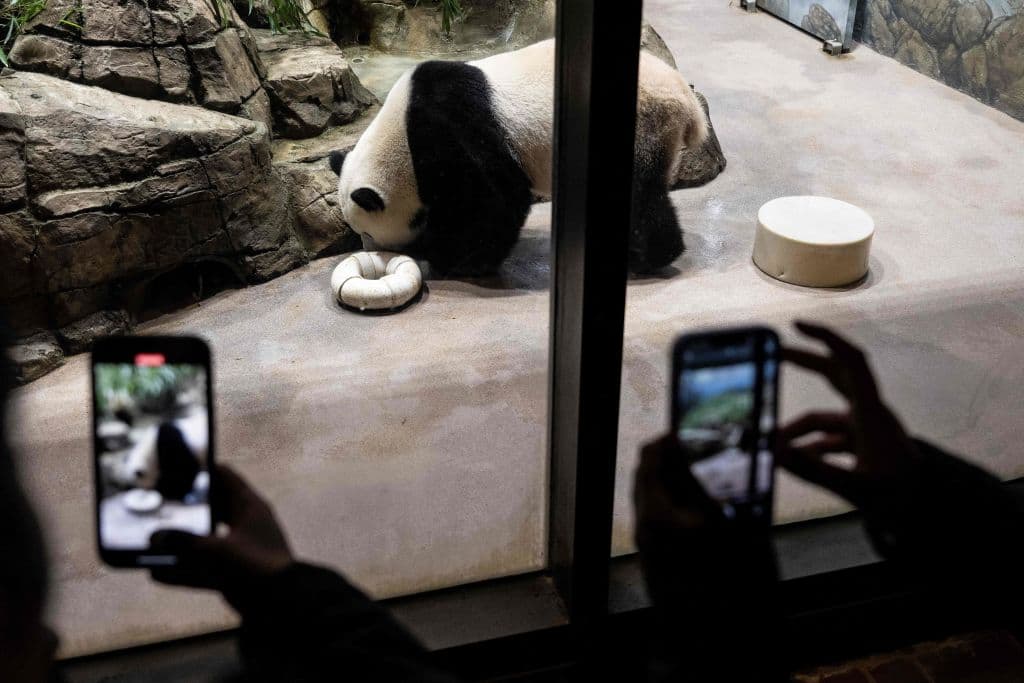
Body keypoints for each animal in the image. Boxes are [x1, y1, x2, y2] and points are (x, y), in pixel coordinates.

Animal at [330, 38, 708, 276]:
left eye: (368, 231)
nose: (370, 250)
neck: (398, 133)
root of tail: (686, 101)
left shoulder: (449, 122)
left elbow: (496, 196)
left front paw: (458, 259)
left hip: (641, 122)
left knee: (638, 194)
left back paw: (650, 258)